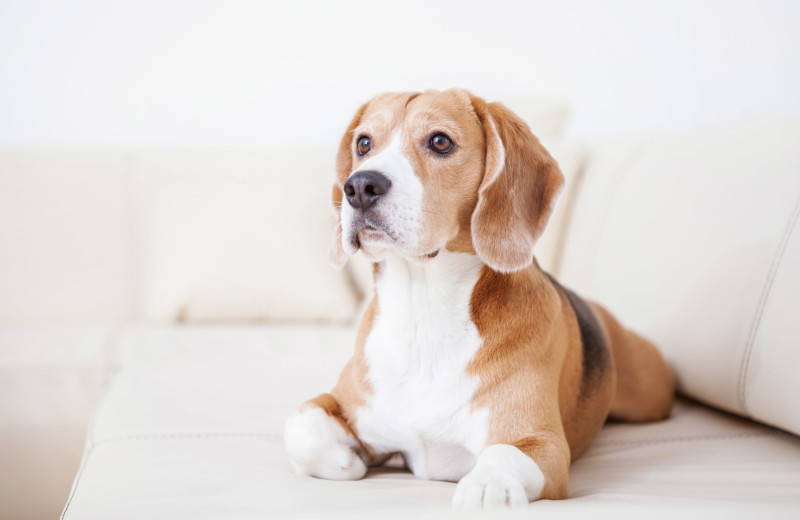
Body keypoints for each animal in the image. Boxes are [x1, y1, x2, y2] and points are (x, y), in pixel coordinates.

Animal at [284, 88, 672, 508]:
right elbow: (301, 425)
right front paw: (346, 459)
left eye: (440, 141)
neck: (424, 312)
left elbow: (502, 455)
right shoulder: (344, 401)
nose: (358, 187)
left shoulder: (542, 443)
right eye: (364, 144)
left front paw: (487, 486)